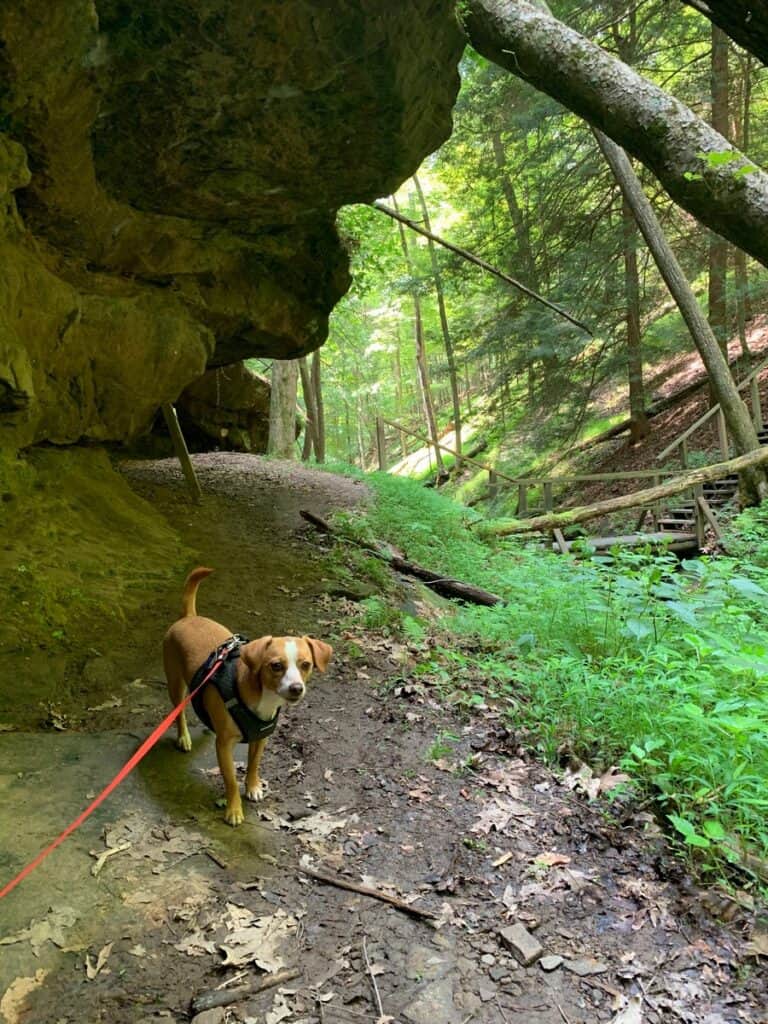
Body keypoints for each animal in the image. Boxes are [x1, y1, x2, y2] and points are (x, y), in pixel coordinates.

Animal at [162, 569, 331, 823]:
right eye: (276, 666)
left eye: (306, 665)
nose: (296, 688)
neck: (263, 697)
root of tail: (189, 617)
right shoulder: (224, 746)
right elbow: (231, 780)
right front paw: (234, 810)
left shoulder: (260, 738)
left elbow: (253, 765)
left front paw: (253, 787)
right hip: (176, 684)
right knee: (179, 713)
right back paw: (184, 738)